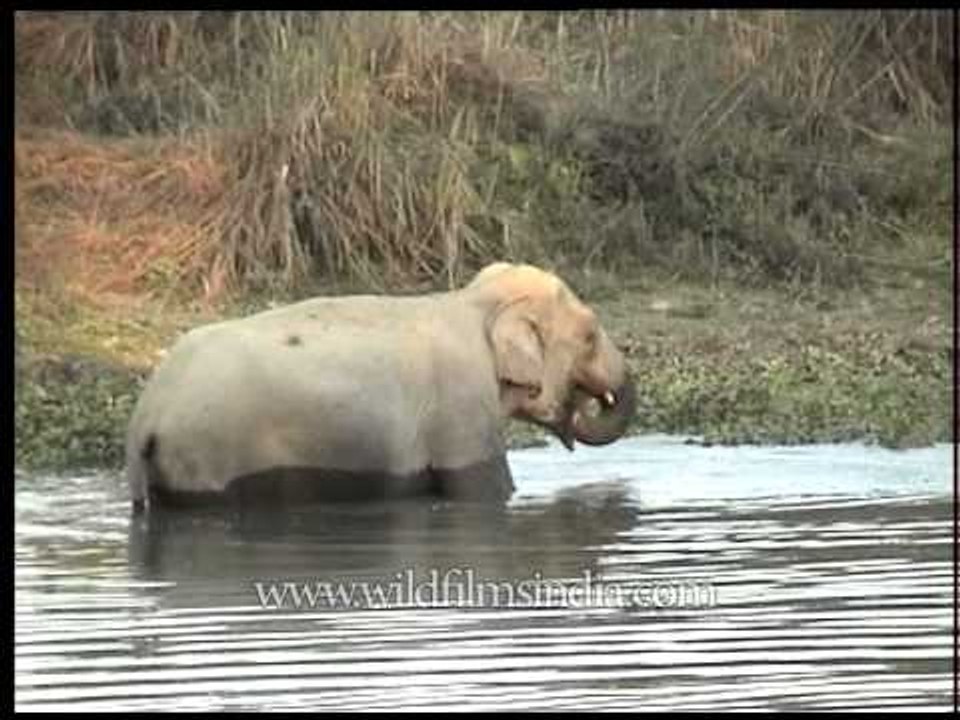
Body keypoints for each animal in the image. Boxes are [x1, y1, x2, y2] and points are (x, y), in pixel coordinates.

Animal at [125, 262, 637, 510]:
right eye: (590, 336)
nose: (583, 406)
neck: (471, 301)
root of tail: (145, 419)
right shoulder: (462, 406)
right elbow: (484, 485)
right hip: (206, 451)